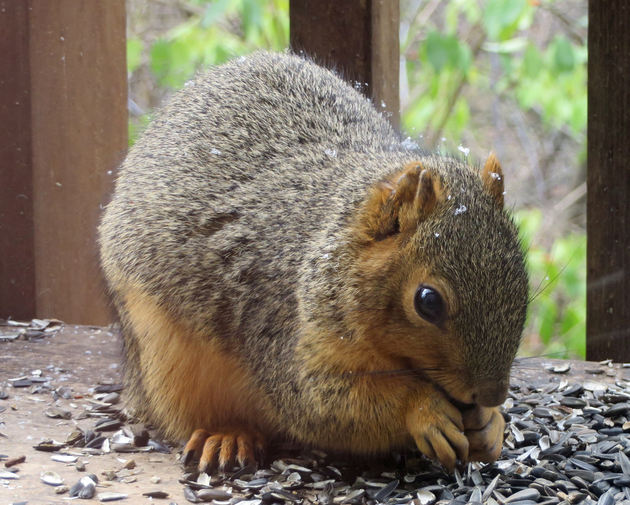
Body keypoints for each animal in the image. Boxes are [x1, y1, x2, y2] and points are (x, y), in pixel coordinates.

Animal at [99, 51, 532, 472]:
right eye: (428, 301)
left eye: (522, 282)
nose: (492, 393)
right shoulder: (281, 329)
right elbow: (322, 403)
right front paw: (426, 410)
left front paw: (491, 423)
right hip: (164, 352)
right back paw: (226, 435)